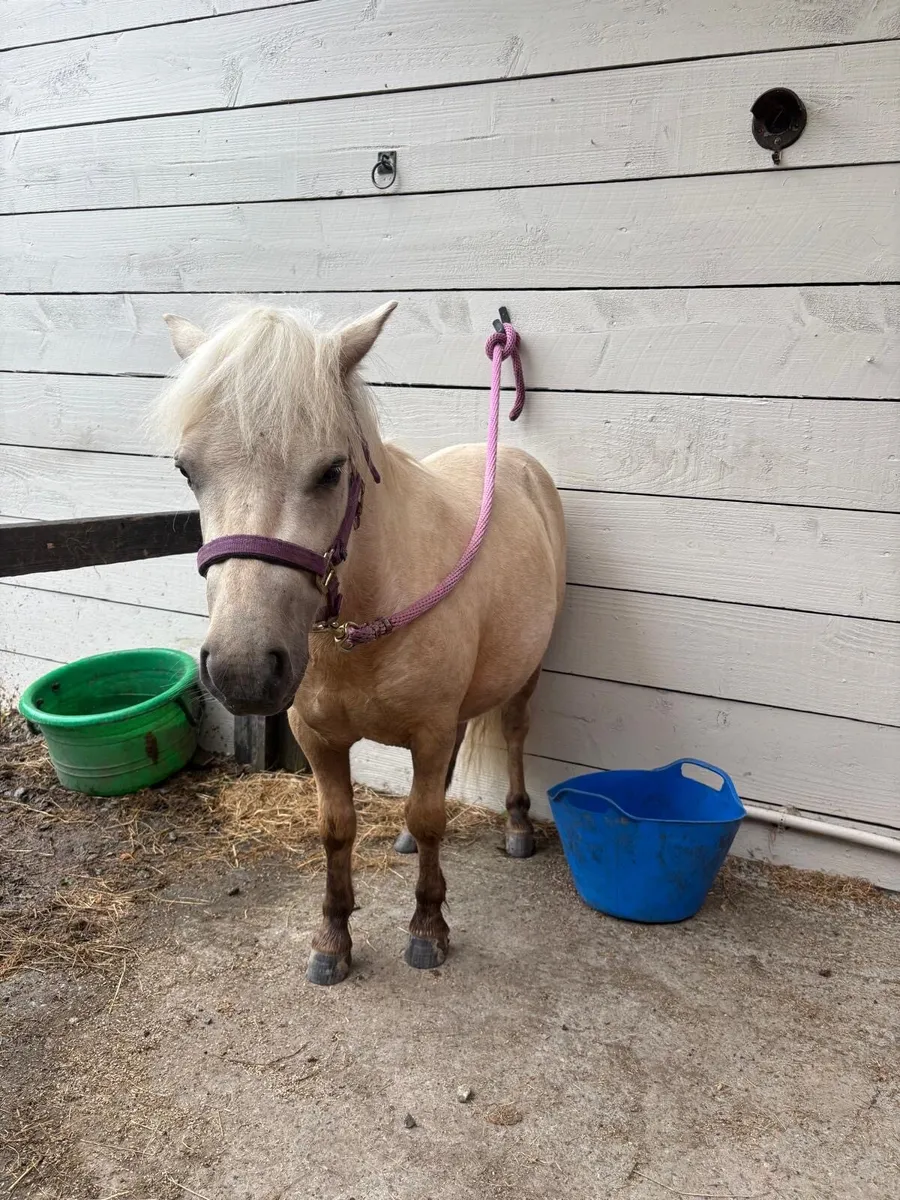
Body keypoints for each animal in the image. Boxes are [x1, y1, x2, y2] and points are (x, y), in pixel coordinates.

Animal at [157, 302, 566, 984]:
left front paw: (428, 928)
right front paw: (332, 937)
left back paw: (515, 824)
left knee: (512, 733)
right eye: (188, 471)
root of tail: (520, 464)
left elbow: (429, 821)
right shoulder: (320, 739)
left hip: (526, 674)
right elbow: (337, 829)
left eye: (331, 471)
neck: (360, 629)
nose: (243, 669)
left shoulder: (428, 729)